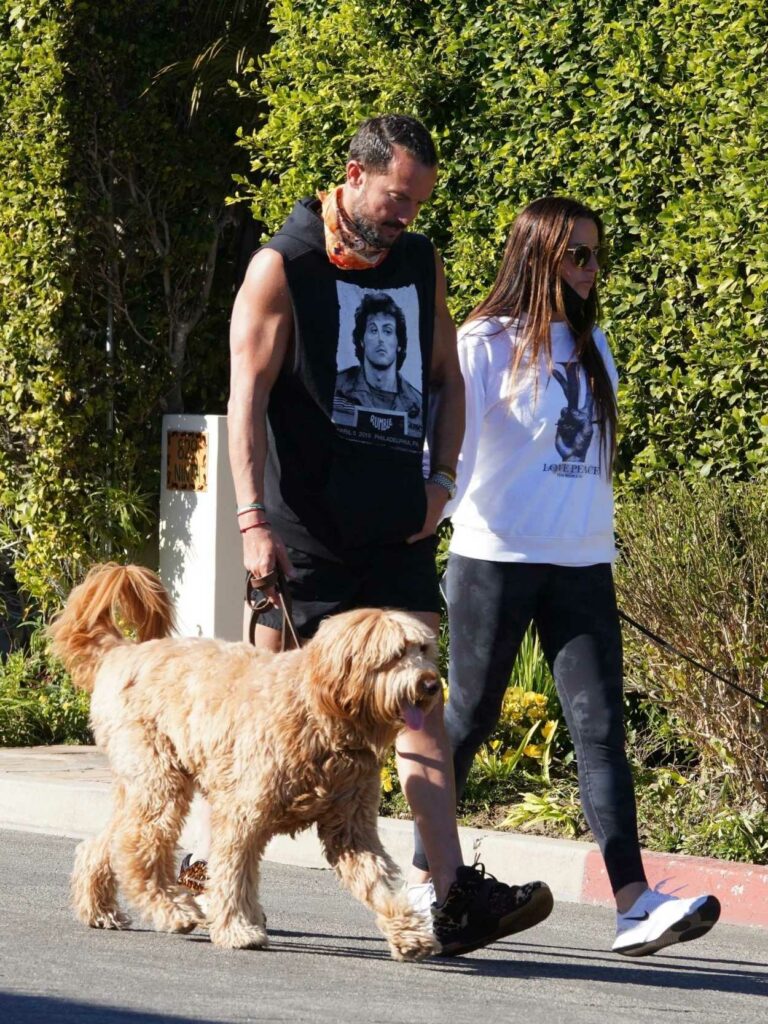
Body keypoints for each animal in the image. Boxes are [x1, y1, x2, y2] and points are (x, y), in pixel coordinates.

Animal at [48, 561, 442, 958]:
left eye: (423, 648)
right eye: (396, 654)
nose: (431, 685)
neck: (318, 711)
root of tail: (123, 653)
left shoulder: (351, 825)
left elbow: (377, 878)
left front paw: (410, 933)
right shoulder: (243, 813)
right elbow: (233, 874)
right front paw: (239, 928)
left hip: (141, 781)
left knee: (108, 841)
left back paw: (99, 908)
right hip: (157, 777)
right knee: (137, 845)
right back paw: (173, 909)